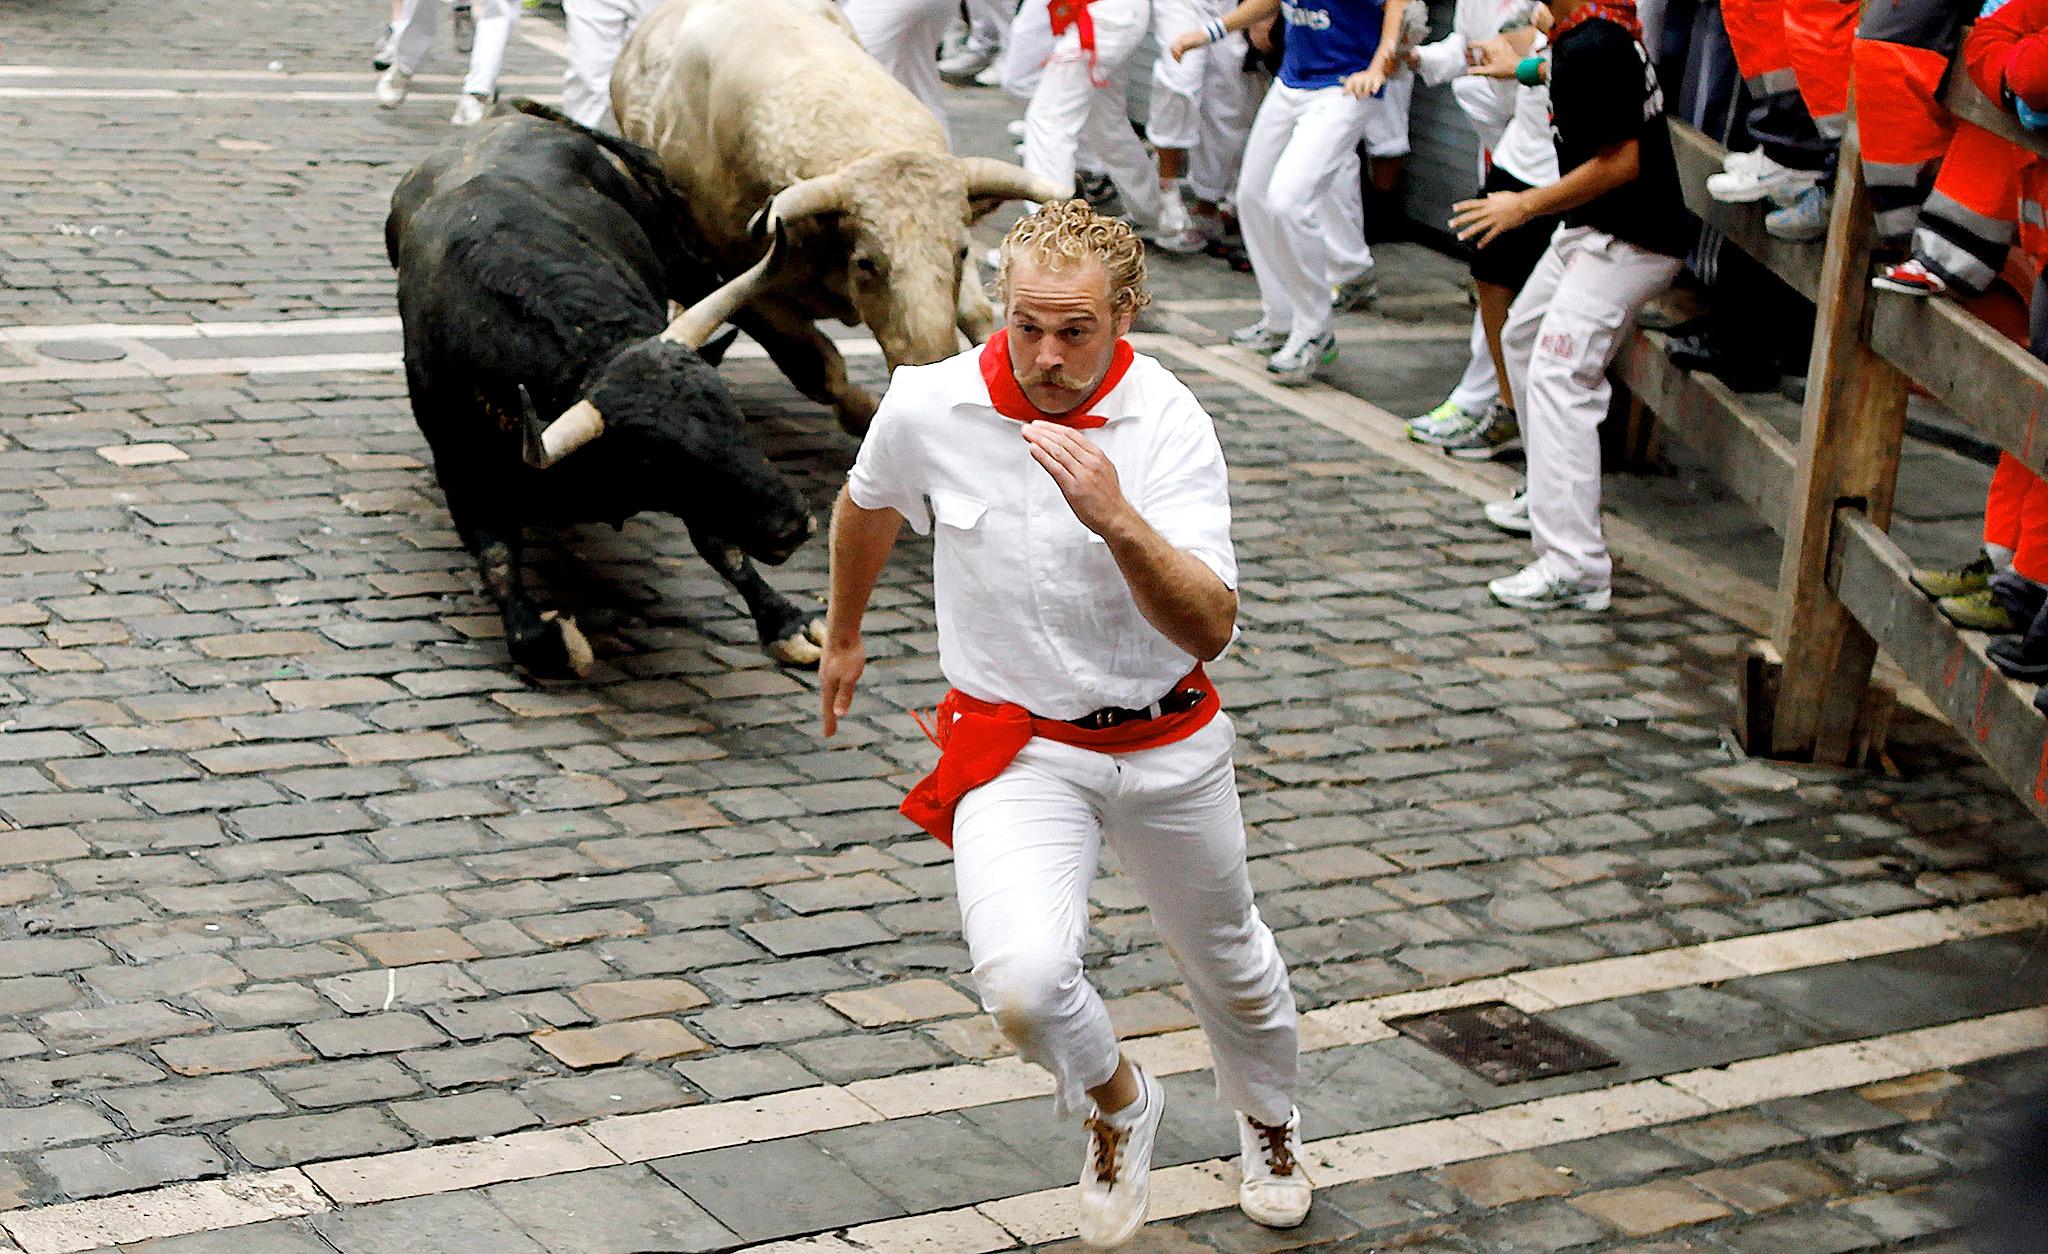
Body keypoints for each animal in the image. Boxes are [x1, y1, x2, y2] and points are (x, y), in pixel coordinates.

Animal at [387, 102, 819, 680]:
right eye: (657, 459)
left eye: (733, 415)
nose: (792, 524)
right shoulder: (461, 468)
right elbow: (500, 569)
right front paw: (554, 638)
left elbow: (720, 544)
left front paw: (788, 623)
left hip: (677, 253)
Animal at [606, 0, 1064, 436]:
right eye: (865, 262)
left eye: (962, 251)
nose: (929, 362)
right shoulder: (744, 283)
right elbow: (819, 365)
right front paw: (866, 416)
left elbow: (979, 316)